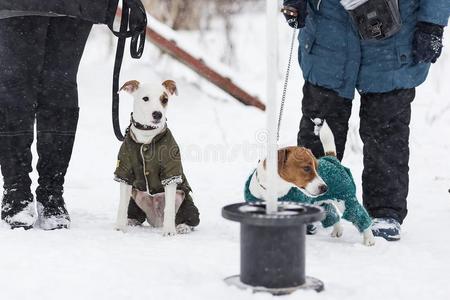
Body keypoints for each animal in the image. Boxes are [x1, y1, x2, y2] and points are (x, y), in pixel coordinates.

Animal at [244, 119, 374, 246]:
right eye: (306, 168)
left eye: (316, 167)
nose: (325, 188)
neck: (276, 190)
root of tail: (332, 159)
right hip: (321, 203)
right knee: (332, 214)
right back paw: (337, 230)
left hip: (345, 198)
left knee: (359, 215)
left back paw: (369, 238)